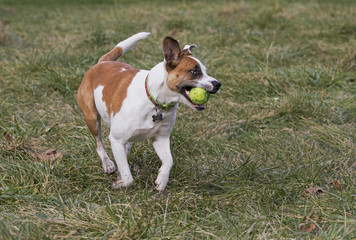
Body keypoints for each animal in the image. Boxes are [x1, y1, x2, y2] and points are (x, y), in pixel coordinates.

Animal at [77, 32, 221, 192]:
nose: (218, 84)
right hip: (92, 118)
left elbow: (169, 160)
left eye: (204, 70)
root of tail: (101, 63)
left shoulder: (161, 139)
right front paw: (120, 183)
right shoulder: (116, 139)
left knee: (126, 148)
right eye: (195, 71)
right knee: (99, 143)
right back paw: (108, 164)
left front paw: (161, 180)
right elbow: (129, 178)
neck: (155, 101)